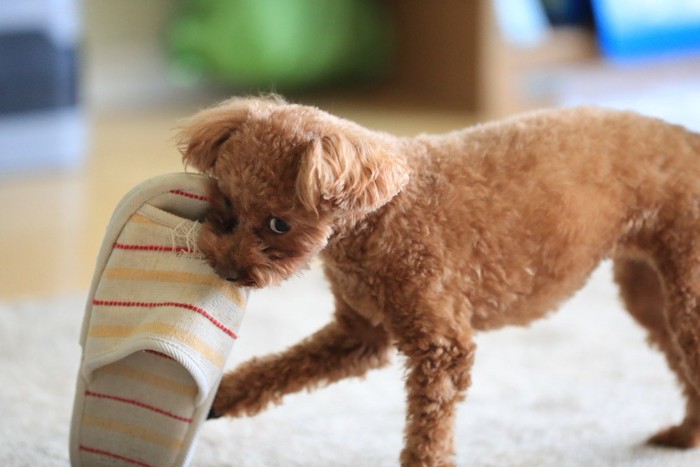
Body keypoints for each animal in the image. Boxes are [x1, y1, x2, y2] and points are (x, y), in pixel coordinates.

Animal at [176, 97, 700, 466]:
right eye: (226, 204)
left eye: (279, 225)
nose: (227, 270)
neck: (379, 217)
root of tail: (687, 137)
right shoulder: (360, 337)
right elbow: (278, 369)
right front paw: (219, 399)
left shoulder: (442, 348)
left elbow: (429, 430)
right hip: (650, 293)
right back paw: (684, 435)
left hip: (686, 292)